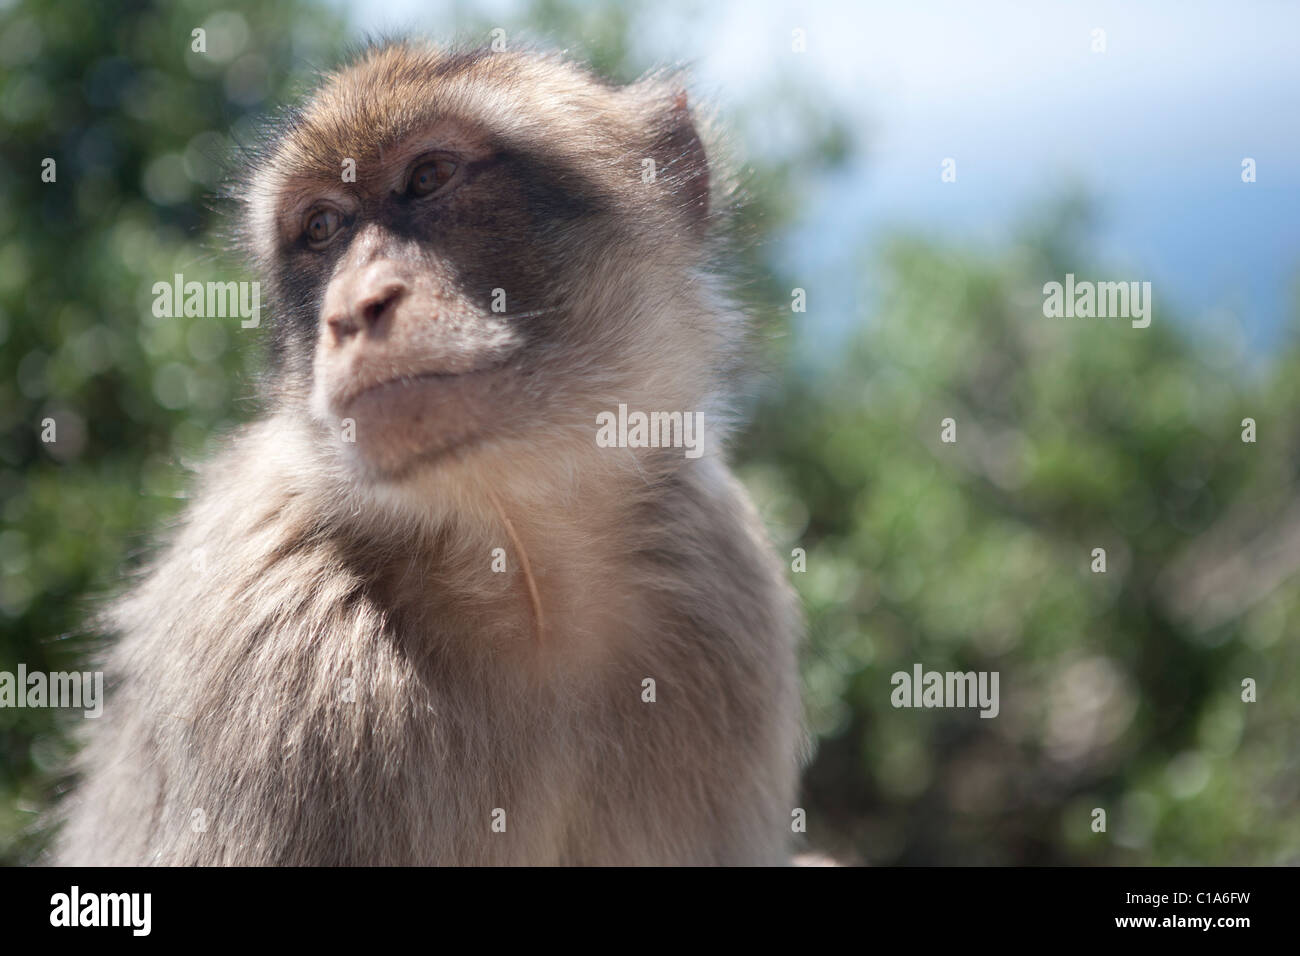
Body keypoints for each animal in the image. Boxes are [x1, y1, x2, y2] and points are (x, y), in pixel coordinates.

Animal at [54, 40, 803, 866]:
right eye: (322, 226)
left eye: (428, 177)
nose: (353, 310)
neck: (523, 564)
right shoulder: (275, 652)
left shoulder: (725, 595)